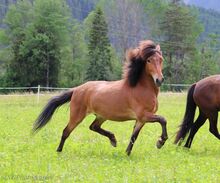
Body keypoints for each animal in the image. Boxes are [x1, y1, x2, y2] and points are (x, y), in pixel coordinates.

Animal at [32, 39, 168, 154]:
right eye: (149, 60)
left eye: (161, 59)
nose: (159, 80)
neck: (140, 88)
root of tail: (76, 89)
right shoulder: (144, 115)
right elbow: (163, 119)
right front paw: (160, 142)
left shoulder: (141, 120)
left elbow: (134, 136)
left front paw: (127, 153)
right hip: (77, 116)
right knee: (66, 131)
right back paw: (59, 151)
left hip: (102, 116)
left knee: (93, 126)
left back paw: (113, 139)